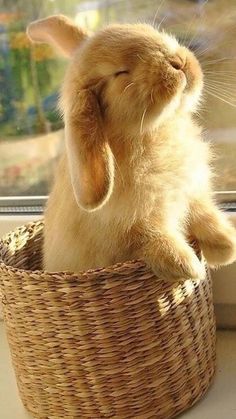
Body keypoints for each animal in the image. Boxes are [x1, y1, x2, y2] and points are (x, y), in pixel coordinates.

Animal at [27, 13, 236, 282]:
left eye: (150, 31)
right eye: (120, 73)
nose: (177, 62)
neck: (153, 132)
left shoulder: (190, 192)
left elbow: (204, 214)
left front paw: (227, 247)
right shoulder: (131, 227)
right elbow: (150, 238)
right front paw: (187, 267)